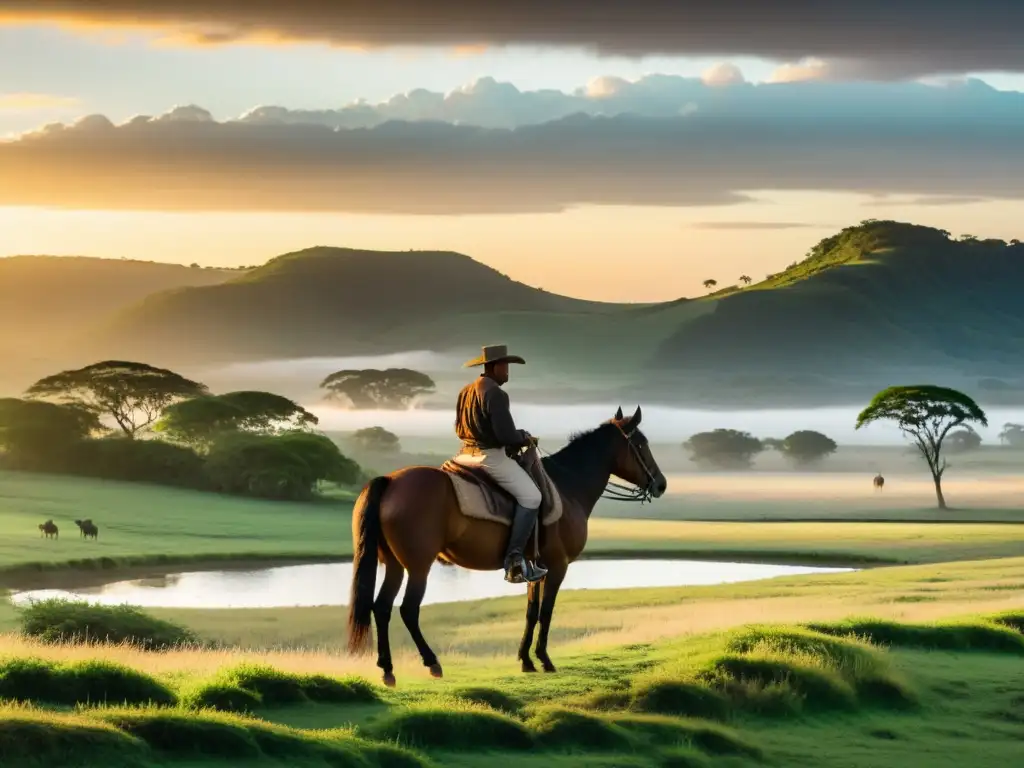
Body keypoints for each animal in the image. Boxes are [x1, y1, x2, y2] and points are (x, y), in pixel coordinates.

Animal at [348, 405, 667, 688]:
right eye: (641, 444)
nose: (661, 484)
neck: (568, 485)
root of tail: (390, 481)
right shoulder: (558, 566)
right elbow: (546, 612)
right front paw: (544, 660)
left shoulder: (535, 568)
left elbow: (531, 611)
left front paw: (526, 660)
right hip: (418, 567)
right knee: (408, 610)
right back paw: (432, 663)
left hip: (394, 565)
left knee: (382, 608)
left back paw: (388, 670)